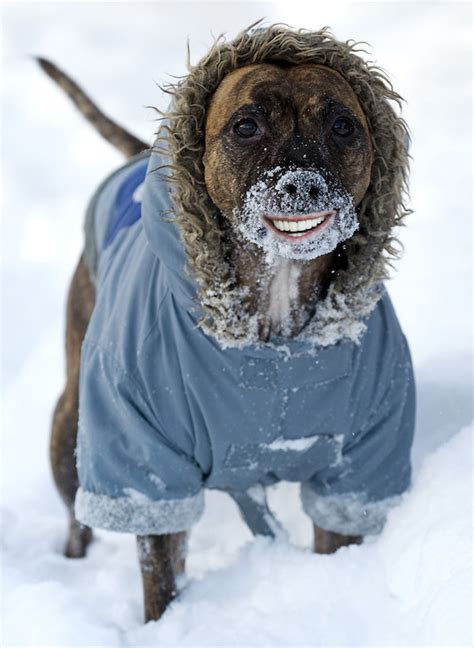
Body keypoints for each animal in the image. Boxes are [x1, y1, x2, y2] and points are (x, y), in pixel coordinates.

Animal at [43, 25, 414, 624]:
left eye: (343, 126)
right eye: (246, 125)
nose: (303, 183)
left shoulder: (359, 469)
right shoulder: (147, 466)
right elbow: (160, 575)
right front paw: (162, 627)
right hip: (70, 422)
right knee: (77, 514)